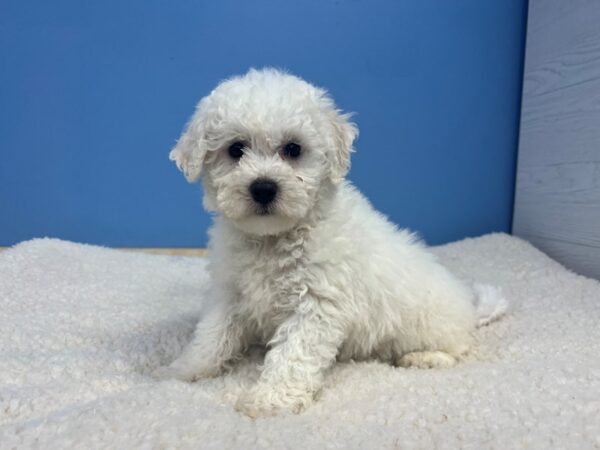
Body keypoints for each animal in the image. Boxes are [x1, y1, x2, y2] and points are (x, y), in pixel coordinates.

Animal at [156, 67, 506, 418]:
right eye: (235, 149)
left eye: (293, 149)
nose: (264, 188)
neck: (274, 238)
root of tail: (470, 308)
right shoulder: (230, 291)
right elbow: (212, 334)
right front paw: (182, 370)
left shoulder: (316, 304)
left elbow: (292, 355)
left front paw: (270, 400)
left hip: (429, 326)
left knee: (458, 349)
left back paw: (422, 358)